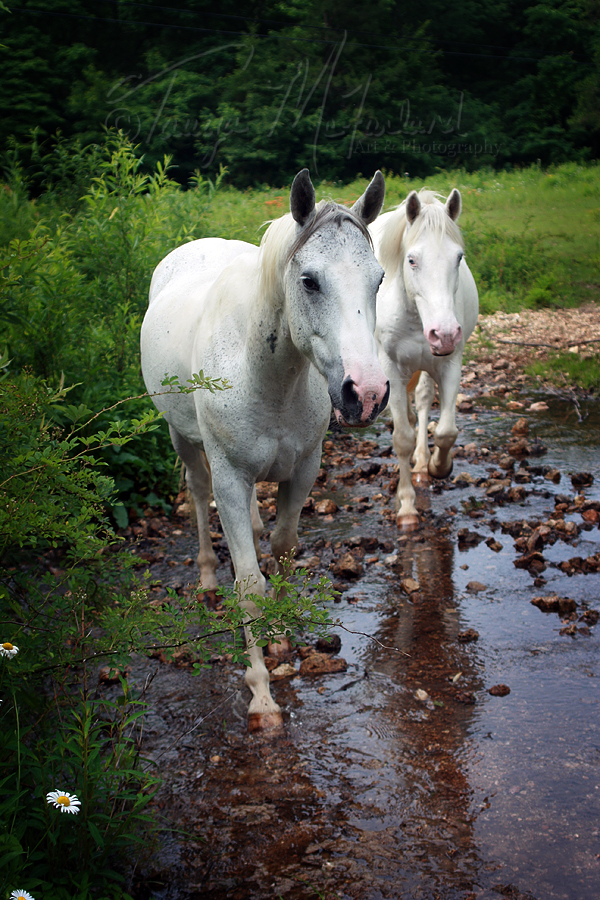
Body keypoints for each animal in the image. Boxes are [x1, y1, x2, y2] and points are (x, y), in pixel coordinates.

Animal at [141, 171, 390, 732]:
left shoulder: (303, 470)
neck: (266, 374)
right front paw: (261, 694)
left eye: (380, 279)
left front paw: (281, 637)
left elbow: (283, 549)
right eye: (310, 281)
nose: (365, 394)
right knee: (198, 492)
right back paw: (207, 577)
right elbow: (250, 585)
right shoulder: (231, 477)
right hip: (183, 441)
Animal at [370, 188, 478, 528]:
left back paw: (421, 464)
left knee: (421, 401)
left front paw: (438, 467)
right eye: (412, 260)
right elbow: (401, 439)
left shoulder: (450, 363)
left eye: (458, 257)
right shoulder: (390, 369)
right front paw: (406, 507)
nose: (444, 333)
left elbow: (445, 431)